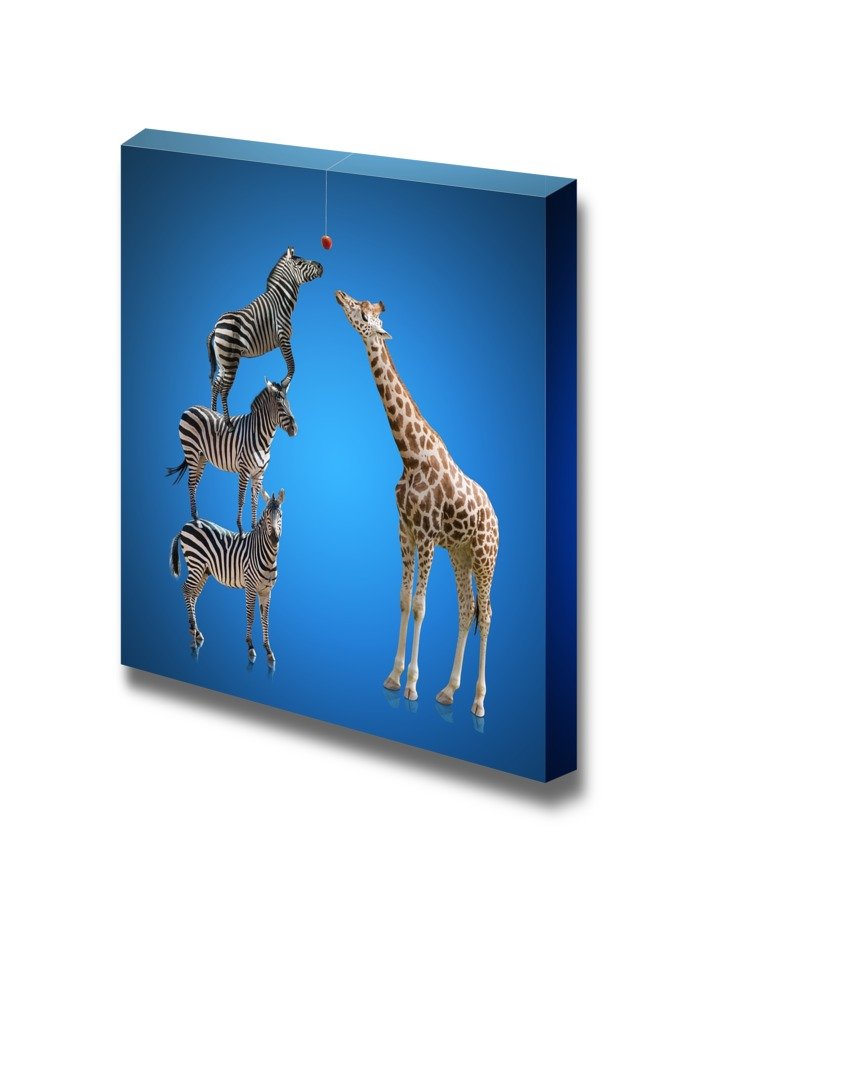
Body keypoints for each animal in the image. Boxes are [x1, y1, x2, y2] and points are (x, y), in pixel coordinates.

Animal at [166, 379, 296, 534]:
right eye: (279, 404)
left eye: (289, 403)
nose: (295, 429)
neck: (262, 439)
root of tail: (190, 408)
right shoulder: (244, 471)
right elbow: (241, 498)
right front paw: (240, 529)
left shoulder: (259, 474)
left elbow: (255, 500)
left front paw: (253, 527)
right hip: (191, 451)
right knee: (191, 483)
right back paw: (196, 520)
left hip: (201, 457)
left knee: (195, 483)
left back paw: (196, 517)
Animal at [169, 490, 285, 663]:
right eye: (265, 515)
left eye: (280, 515)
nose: (274, 539)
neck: (266, 555)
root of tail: (186, 525)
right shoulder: (250, 588)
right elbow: (250, 616)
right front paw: (250, 646)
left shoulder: (266, 591)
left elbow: (265, 619)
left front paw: (269, 651)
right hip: (195, 564)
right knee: (186, 590)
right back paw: (192, 629)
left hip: (204, 570)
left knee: (193, 595)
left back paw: (197, 632)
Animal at [208, 246, 323, 422]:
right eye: (299, 263)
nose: (321, 266)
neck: (281, 302)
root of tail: (215, 328)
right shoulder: (283, 337)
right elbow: (292, 365)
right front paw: (283, 385)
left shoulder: (282, 341)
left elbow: (291, 365)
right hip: (230, 360)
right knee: (224, 390)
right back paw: (227, 423)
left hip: (223, 361)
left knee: (215, 386)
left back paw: (215, 416)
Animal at [335, 290, 500, 716]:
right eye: (359, 304)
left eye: (364, 313)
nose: (340, 294)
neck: (410, 456)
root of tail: (497, 518)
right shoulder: (404, 531)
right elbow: (404, 599)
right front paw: (393, 677)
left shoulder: (426, 536)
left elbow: (422, 605)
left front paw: (411, 685)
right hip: (460, 554)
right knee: (466, 610)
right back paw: (449, 690)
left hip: (485, 556)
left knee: (487, 614)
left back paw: (478, 701)